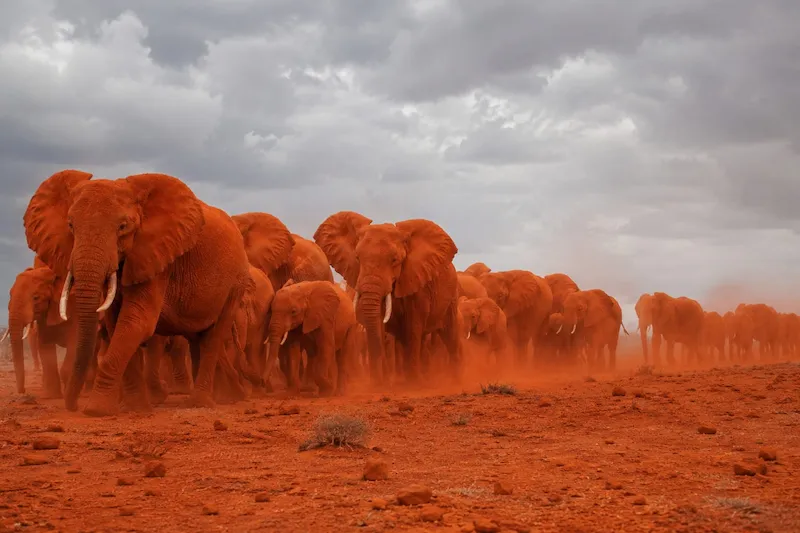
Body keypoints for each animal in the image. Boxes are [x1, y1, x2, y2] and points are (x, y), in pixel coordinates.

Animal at [24, 170, 253, 416]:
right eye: (70, 225)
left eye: (123, 227)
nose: (73, 406)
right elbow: (116, 323)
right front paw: (134, 407)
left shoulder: (158, 259)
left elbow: (136, 322)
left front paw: (96, 410)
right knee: (197, 337)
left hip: (235, 284)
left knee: (213, 337)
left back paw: (200, 403)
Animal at [314, 211, 461, 386]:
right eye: (357, 258)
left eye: (394, 260)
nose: (380, 380)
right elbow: (377, 321)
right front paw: (378, 384)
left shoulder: (417, 282)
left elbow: (414, 324)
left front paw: (414, 384)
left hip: (452, 298)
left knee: (450, 338)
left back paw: (454, 380)